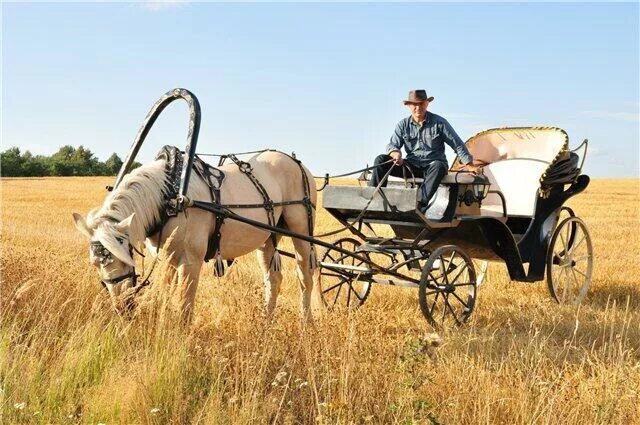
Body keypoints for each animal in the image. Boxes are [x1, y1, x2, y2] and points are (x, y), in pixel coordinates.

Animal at [72, 150, 318, 322]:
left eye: (126, 259)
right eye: (94, 263)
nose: (122, 306)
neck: (169, 197)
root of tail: (298, 163)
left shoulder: (191, 261)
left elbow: (184, 305)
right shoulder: (168, 258)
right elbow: (166, 294)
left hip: (301, 230)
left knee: (305, 276)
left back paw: (305, 322)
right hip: (267, 238)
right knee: (273, 278)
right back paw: (266, 321)